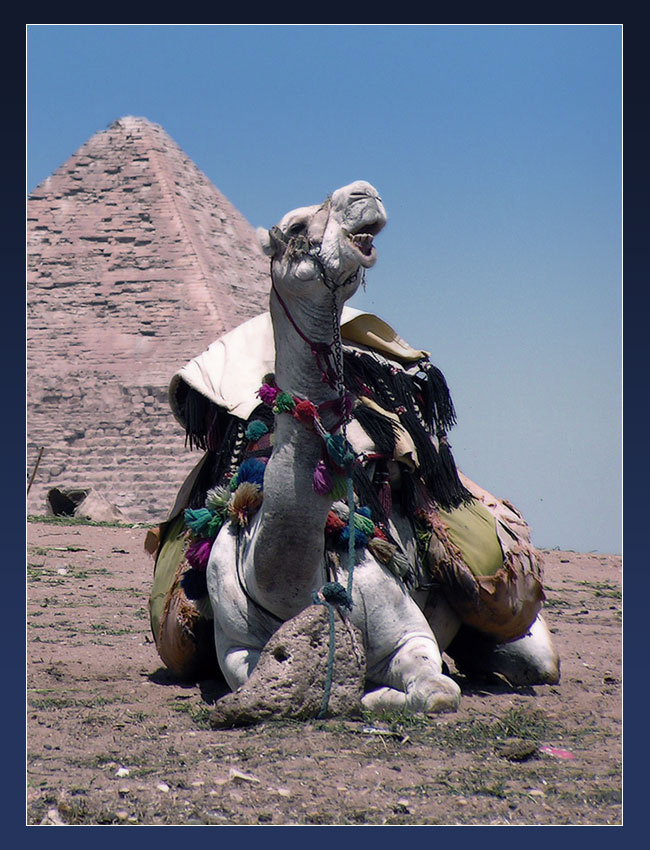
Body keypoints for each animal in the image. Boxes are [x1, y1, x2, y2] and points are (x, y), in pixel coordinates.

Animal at [195, 180, 559, 715]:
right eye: (297, 225)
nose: (362, 193)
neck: (282, 582)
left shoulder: (410, 634)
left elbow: (434, 691)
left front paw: (374, 692)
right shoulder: (239, 653)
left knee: (533, 661)